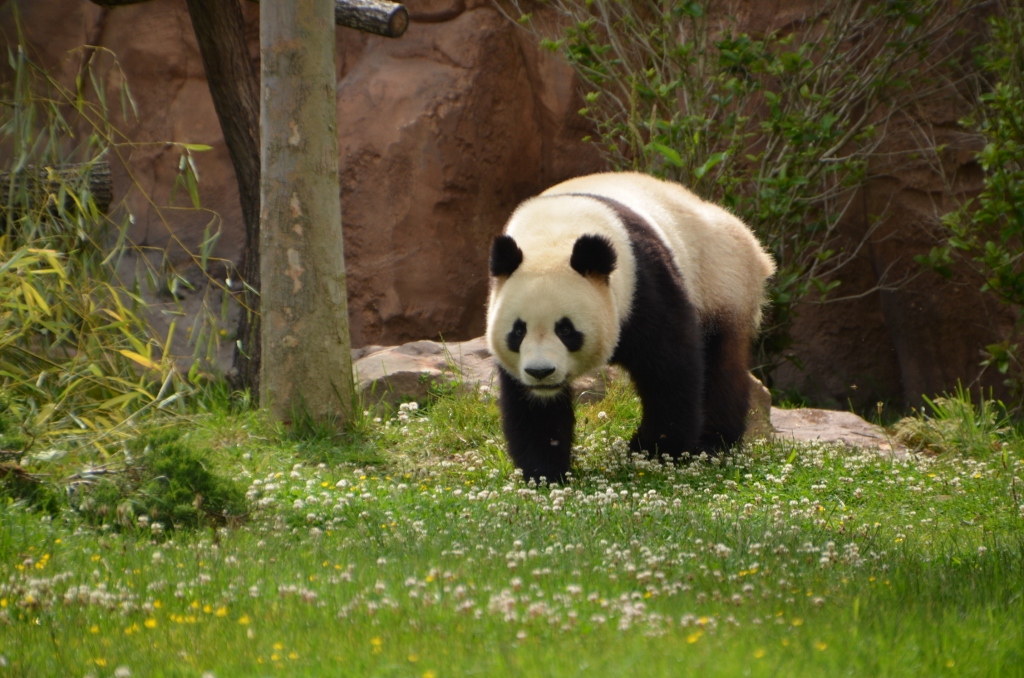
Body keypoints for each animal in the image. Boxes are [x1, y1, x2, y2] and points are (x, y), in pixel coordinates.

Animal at [487, 174, 774, 483]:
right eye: (518, 331)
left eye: (565, 330)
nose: (541, 372)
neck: (554, 231)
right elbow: (531, 406)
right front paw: (544, 471)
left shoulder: (644, 284)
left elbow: (669, 368)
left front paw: (655, 449)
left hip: (721, 282)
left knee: (721, 366)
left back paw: (714, 443)